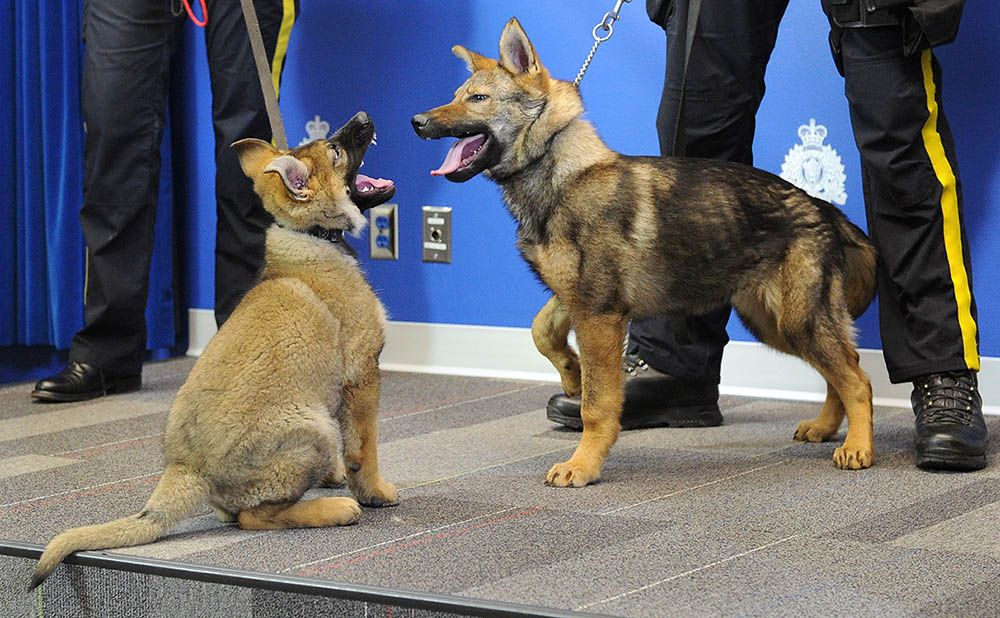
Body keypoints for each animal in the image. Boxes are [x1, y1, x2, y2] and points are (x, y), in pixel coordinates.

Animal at [31, 110, 398, 588]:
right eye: (336, 151)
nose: (364, 116)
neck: (314, 236)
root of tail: (187, 471)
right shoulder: (362, 375)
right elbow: (365, 448)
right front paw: (375, 492)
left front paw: (340, 477)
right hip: (313, 432)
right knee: (253, 518)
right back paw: (333, 509)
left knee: (241, 513)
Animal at [410, 18, 880, 486]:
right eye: (456, 95)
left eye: (477, 99)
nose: (416, 121)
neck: (561, 174)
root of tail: (821, 206)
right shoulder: (576, 300)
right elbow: (540, 331)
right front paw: (571, 372)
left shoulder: (599, 314)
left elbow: (597, 406)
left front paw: (583, 465)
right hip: (774, 323)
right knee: (844, 368)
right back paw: (826, 428)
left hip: (796, 321)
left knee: (858, 379)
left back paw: (858, 448)